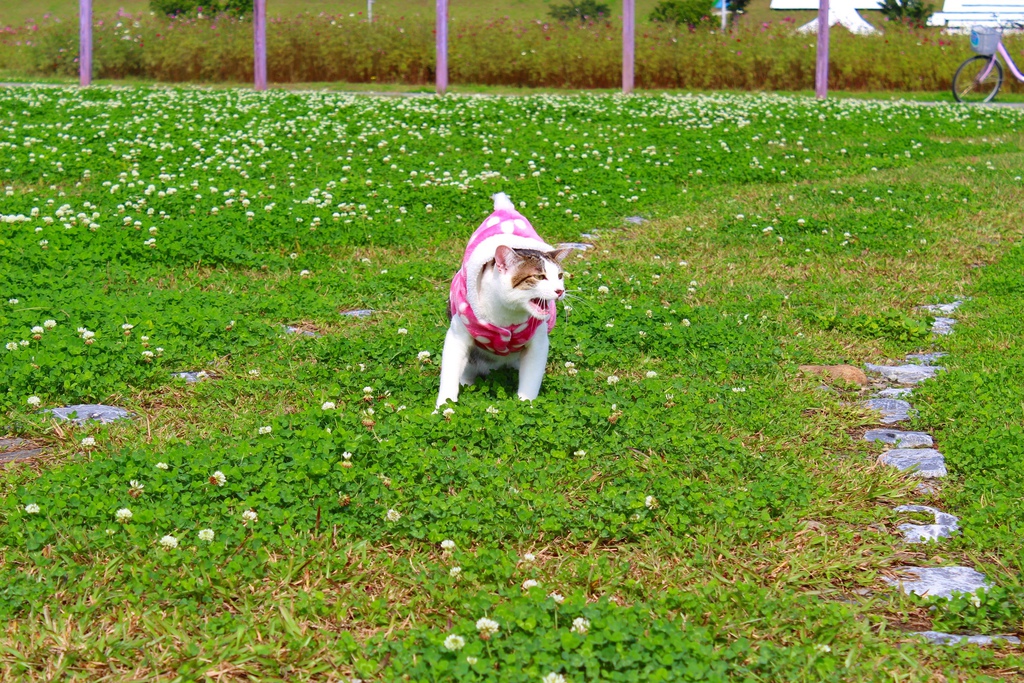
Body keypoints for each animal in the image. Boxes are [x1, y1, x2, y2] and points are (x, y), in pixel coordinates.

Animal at [436, 192, 573, 409]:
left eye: (560, 276)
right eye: (539, 276)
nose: (560, 291)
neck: (507, 314)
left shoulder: (538, 343)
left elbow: (531, 380)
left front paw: (526, 406)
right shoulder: (457, 334)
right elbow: (449, 375)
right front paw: (443, 408)